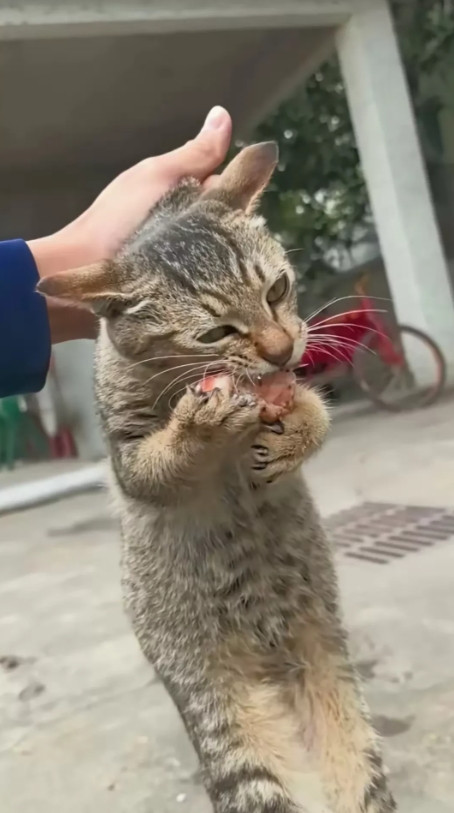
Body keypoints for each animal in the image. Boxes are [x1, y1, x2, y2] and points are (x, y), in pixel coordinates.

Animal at [38, 143, 394, 808]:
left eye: (278, 288)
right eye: (213, 332)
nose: (280, 349)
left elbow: (312, 407)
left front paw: (298, 430)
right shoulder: (127, 456)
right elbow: (159, 464)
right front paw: (197, 427)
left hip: (350, 736)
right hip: (236, 739)